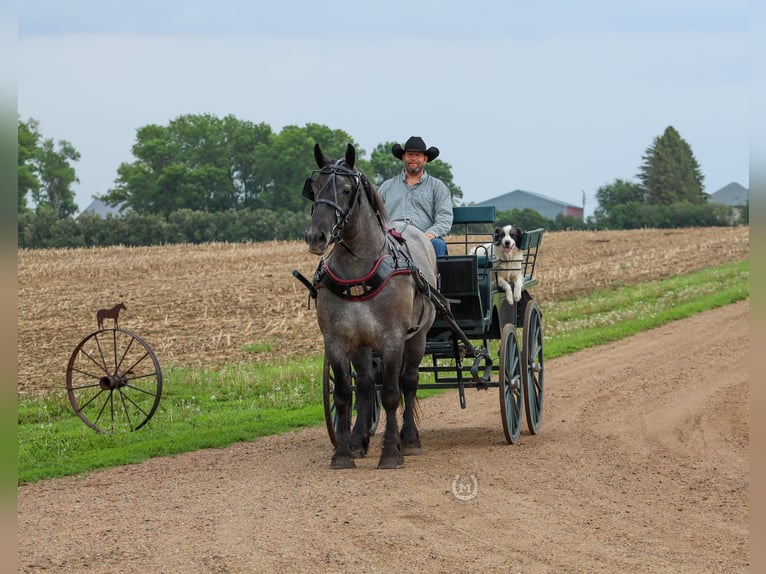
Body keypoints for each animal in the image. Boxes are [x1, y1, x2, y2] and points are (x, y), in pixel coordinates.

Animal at [304, 144, 438, 472]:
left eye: (346, 189)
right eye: (315, 188)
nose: (316, 237)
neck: (358, 273)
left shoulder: (392, 339)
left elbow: (391, 393)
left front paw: (391, 452)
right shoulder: (338, 340)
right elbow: (343, 394)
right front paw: (343, 452)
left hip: (417, 337)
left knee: (408, 382)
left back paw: (409, 438)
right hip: (363, 345)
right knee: (364, 385)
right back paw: (357, 440)